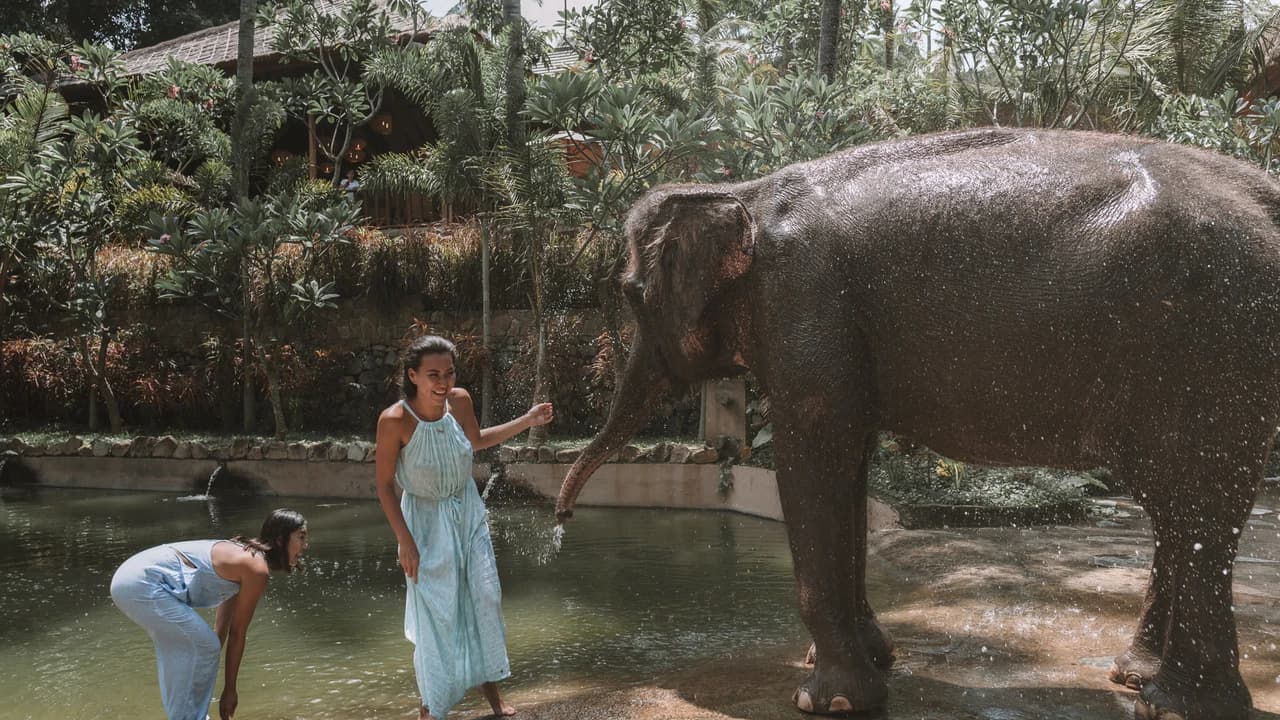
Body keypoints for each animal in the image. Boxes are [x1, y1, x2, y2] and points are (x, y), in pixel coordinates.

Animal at [554, 128, 1280, 720]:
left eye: (630, 295)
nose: (560, 521)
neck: (741, 191)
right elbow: (849, 464)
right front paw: (870, 659)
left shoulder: (805, 308)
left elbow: (813, 459)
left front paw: (829, 699)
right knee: (1177, 506)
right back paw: (1135, 678)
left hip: (1214, 345)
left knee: (1196, 504)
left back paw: (1175, 704)